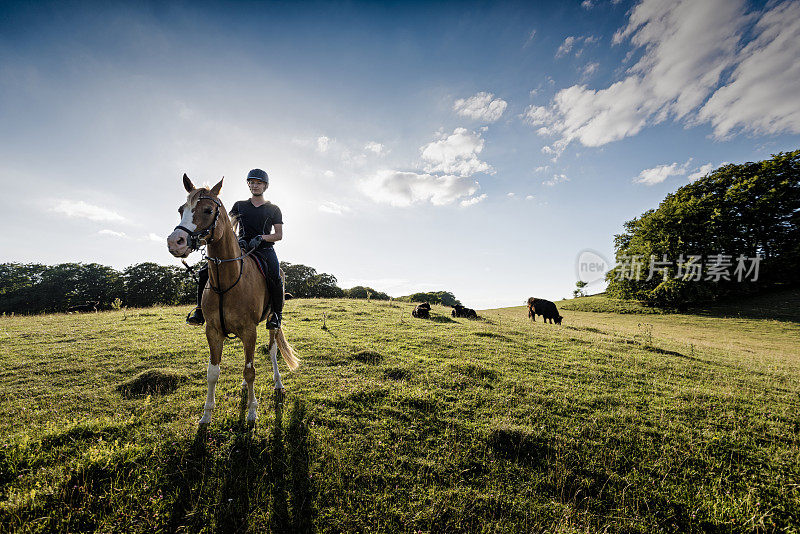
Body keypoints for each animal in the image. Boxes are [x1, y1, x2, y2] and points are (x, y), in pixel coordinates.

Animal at [164, 176, 298, 428]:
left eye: (208, 210)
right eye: (180, 210)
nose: (175, 242)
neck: (229, 279)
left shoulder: (249, 331)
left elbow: (251, 370)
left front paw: (252, 411)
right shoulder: (213, 331)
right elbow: (213, 372)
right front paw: (206, 414)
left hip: (272, 322)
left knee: (273, 351)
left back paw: (278, 383)